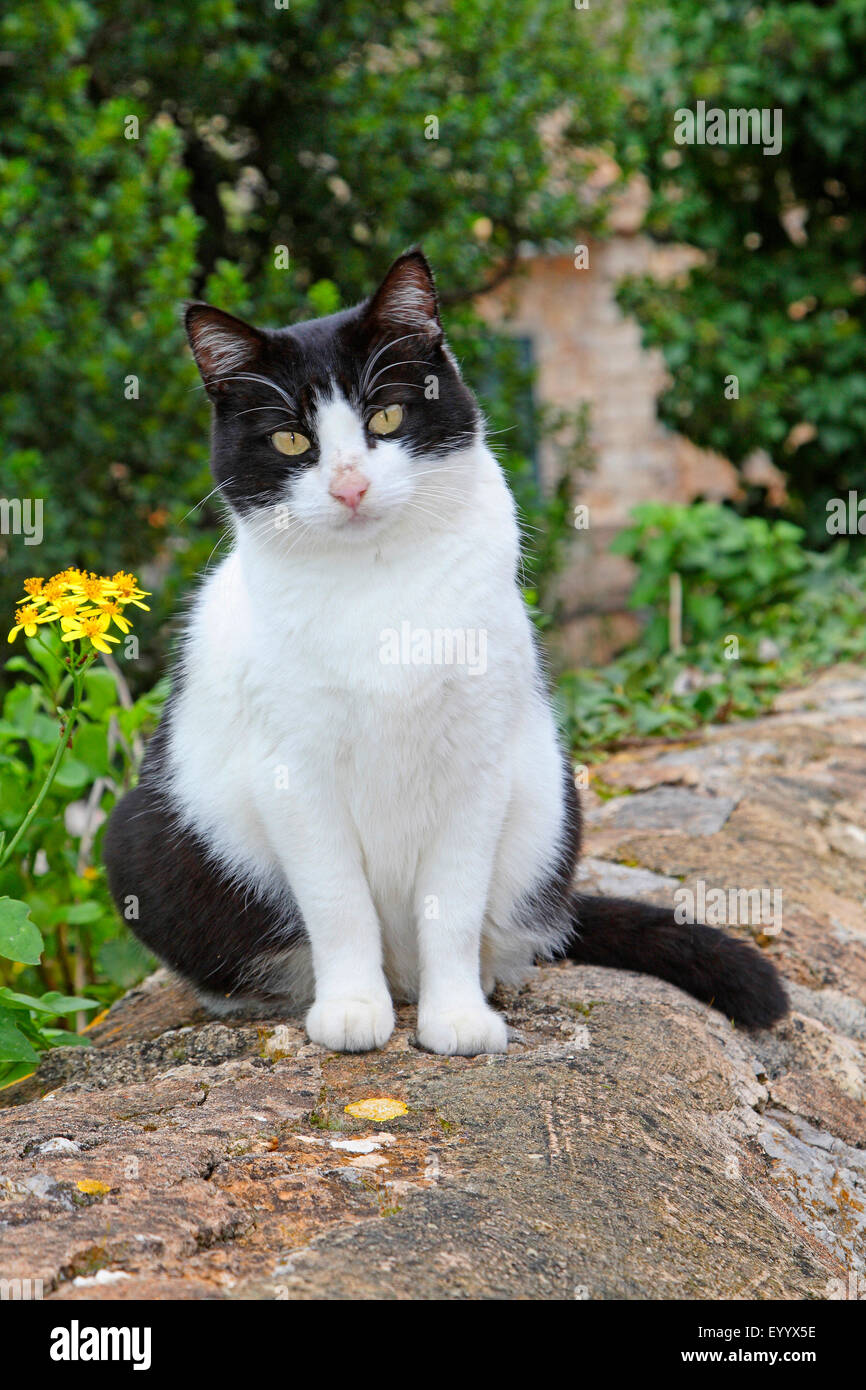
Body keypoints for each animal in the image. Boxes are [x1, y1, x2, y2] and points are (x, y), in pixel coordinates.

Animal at [104, 250, 789, 1050]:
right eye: (291, 441)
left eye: (387, 416)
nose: (349, 486)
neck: (378, 585)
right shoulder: (293, 773)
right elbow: (338, 903)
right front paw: (351, 1008)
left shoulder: (478, 761)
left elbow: (454, 906)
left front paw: (458, 1015)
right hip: (139, 835)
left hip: (550, 809)